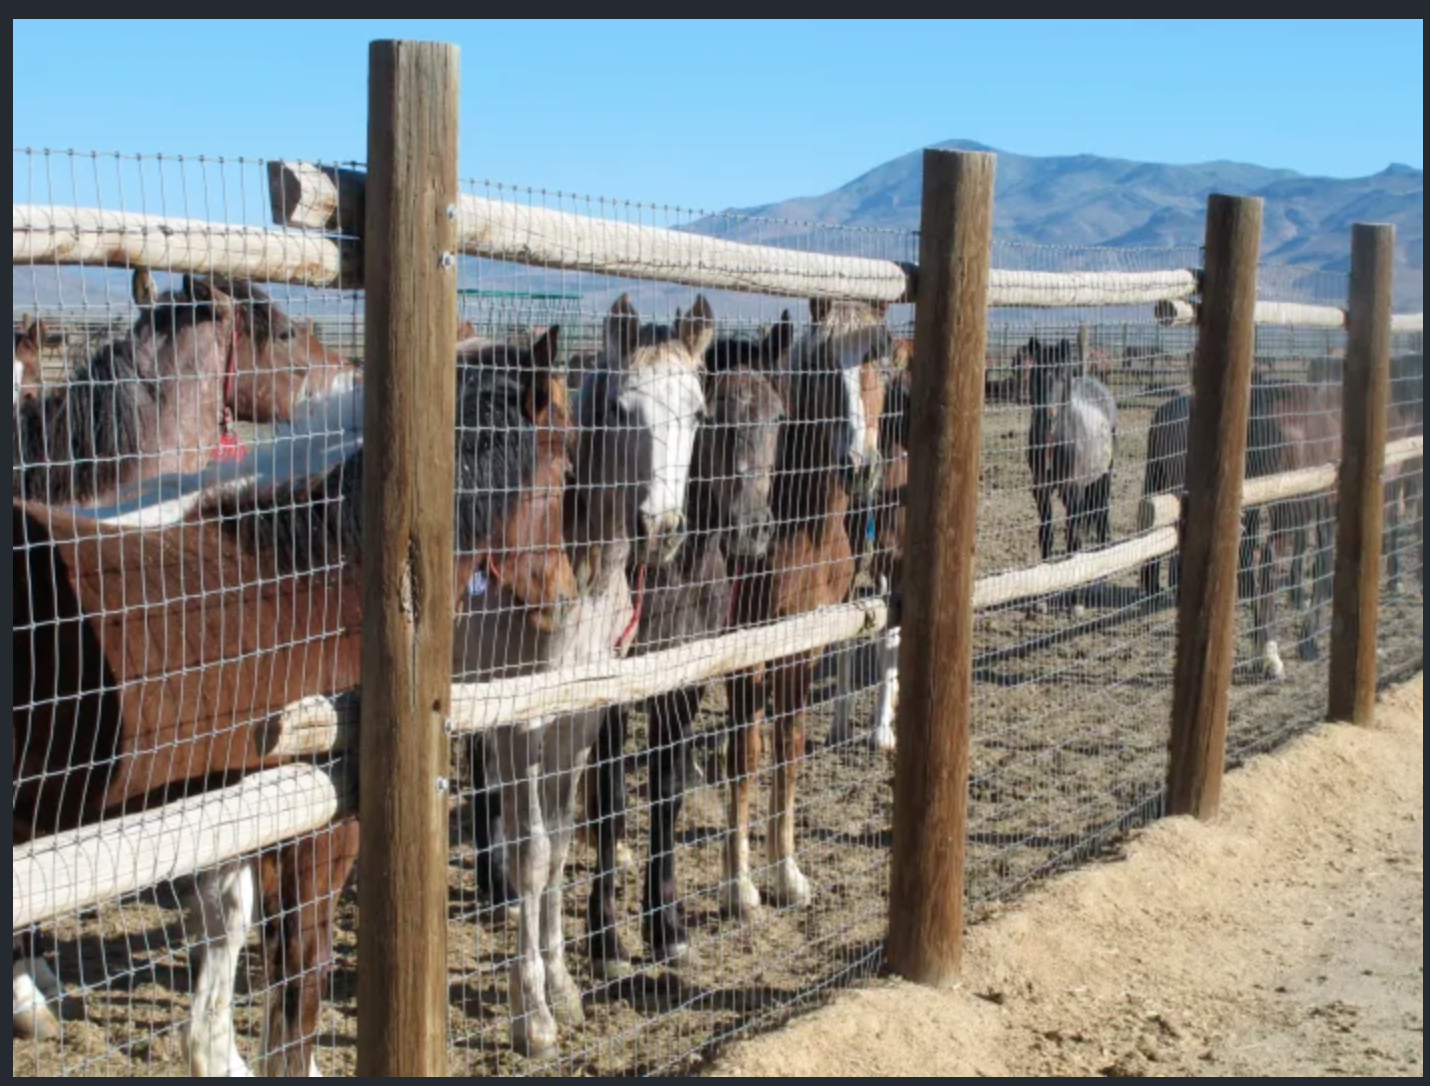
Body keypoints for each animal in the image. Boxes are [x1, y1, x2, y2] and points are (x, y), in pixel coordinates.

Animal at [12, 341, 576, 1076]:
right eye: (564, 465)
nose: (564, 599)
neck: (330, 576)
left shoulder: (237, 813)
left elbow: (240, 944)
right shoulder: (319, 829)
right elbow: (301, 973)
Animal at [455, 297, 712, 1059]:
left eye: (698, 411)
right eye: (625, 409)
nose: (661, 528)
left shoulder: (581, 713)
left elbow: (568, 839)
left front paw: (566, 989)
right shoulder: (521, 719)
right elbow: (535, 852)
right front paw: (532, 1016)